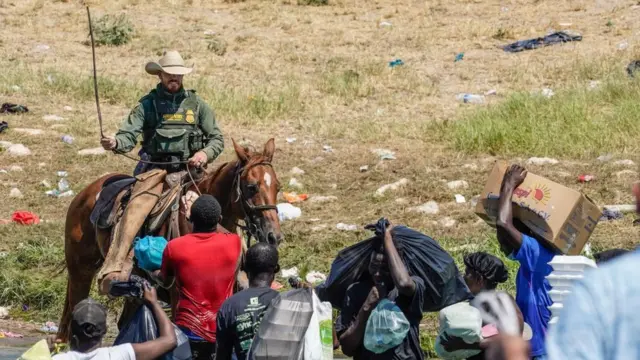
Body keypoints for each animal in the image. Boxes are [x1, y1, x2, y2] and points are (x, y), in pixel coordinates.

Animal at [56, 137, 282, 340]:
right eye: (252, 187)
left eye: (277, 187)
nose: (274, 235)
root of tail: (85, 192)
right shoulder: (178, 296)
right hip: (81, 273)